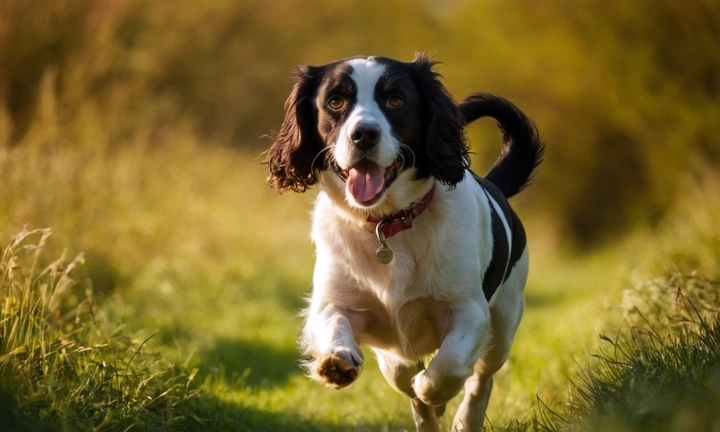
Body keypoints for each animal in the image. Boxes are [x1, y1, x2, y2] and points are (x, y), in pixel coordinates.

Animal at [268, 52, 544, 430]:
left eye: (396, 100)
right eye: (335, 102)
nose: (364, 134)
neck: (387, 225)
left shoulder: (469, 310)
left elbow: (449, 365)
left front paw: (434, 393)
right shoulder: (335, 301)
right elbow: (336, 324)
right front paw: (337, 362)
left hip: (504, 324)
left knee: (481, 378)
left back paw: (463, 417)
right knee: (404, 371)